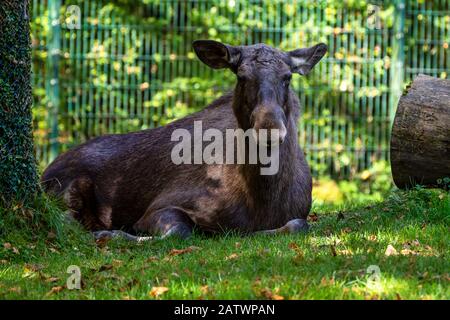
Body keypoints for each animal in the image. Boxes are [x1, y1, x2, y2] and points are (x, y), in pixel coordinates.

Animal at [42, 40, 326, 240]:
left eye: (287, 77)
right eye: (241, 76)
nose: (270, 130)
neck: (262, 198)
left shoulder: (298, 213)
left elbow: (298, 225)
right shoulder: (159, 208)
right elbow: (178, 232)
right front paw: (109, 234)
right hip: (65, 187)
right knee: (64, 218)